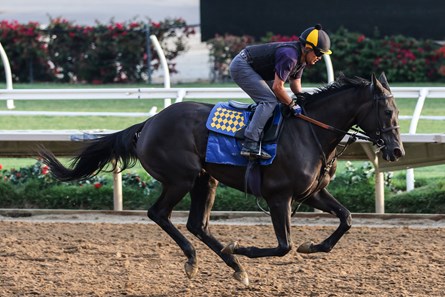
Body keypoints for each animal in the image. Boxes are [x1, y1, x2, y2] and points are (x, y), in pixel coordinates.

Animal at [40, 72, 404, 284]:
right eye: (388, 111)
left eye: (398, 111)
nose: (397, 150)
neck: (310, 133)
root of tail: (149, 123)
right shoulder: (278, 196)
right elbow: (283, 246)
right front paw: (242, 247)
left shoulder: (312, 193)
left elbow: (346, 219)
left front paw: (313, 246)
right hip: (182, 178)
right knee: (159, 214)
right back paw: (202, 258)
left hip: (206, 179)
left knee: (196, 224)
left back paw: (234, 266)